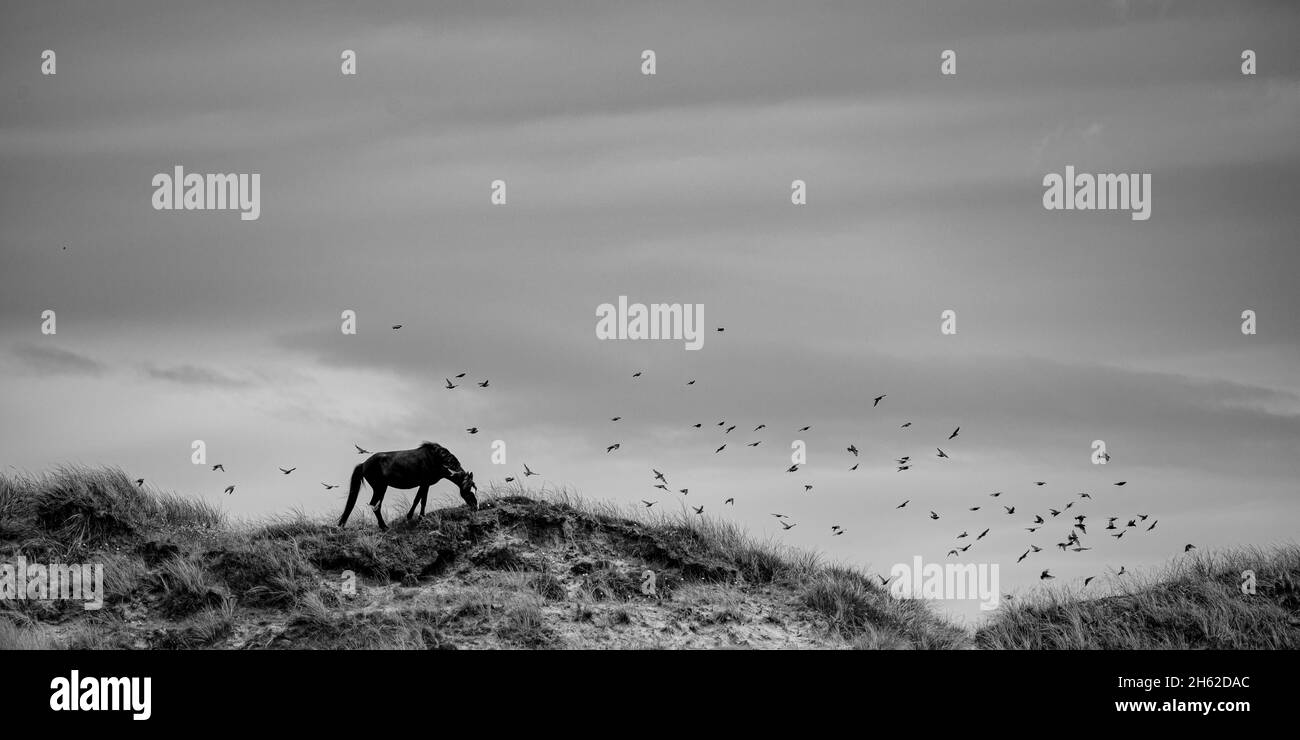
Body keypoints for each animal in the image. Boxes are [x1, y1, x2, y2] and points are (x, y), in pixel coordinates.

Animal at [338, 441, 477, 530]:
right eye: (469, 490)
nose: (475, 506)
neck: (436, 459)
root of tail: (363, 464)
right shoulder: (424, 483)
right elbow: (419, 500)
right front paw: (414, 517)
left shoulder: (425, 484)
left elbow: (421, 500)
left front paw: (417, 517)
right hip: (380, 487)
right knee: (375, 505)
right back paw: (384, 527)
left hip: (382, 488)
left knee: (376, 505)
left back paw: (383, 526)